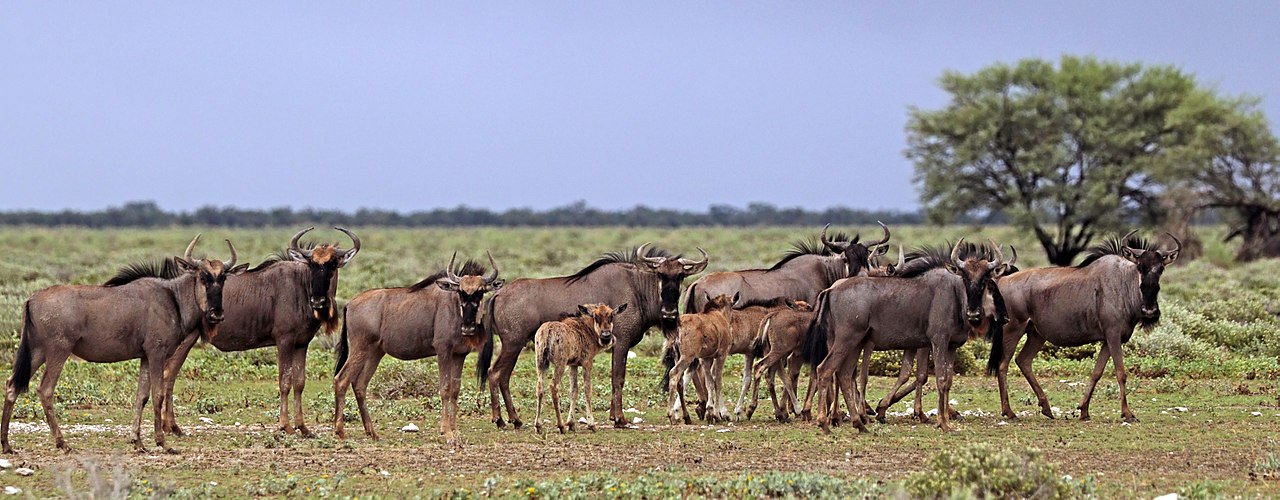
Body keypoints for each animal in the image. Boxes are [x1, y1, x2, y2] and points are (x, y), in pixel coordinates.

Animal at [2, 236, 244, 455]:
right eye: (203, 277)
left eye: (223, 278)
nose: (216, 314)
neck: (172, 298)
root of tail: (32, 298)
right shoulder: (157, 353)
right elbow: (158, 395)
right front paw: (162, 443)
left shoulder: (145, 356)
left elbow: (141, 397)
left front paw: (138, 442)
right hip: (57, 352)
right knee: (45, 390)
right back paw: (63, 443)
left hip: (37, 352)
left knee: (12, 385)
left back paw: (7, 445)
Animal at [532, 301, 627, 434]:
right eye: (596, 317)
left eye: (611, 316)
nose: (606, 336)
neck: (589, 331)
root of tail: (547, 333)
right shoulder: (587, 362)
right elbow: (587, 390)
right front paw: (591, 424)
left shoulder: (573, 365)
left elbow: (574, 390)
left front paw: (571, 423)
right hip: (560, 363)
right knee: (553, 386)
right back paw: (561, 425)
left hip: (541, 362)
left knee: (540, 387)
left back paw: (538, 425)